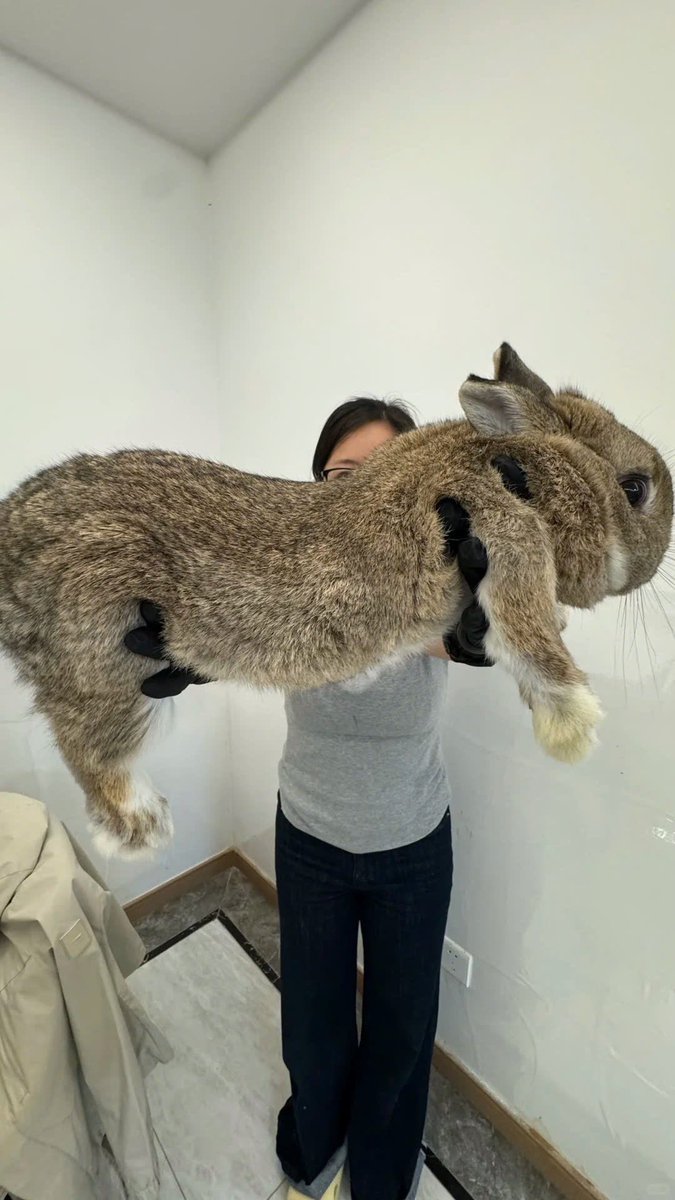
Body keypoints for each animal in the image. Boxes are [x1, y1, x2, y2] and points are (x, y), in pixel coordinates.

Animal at [0, 344, 671, 858]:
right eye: (635, 488)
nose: (655, 562)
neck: (539, 463)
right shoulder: (505, 524)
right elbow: (530, 633)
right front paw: (575, 727)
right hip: (103, 656)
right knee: (90, 748)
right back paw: (142, 827)